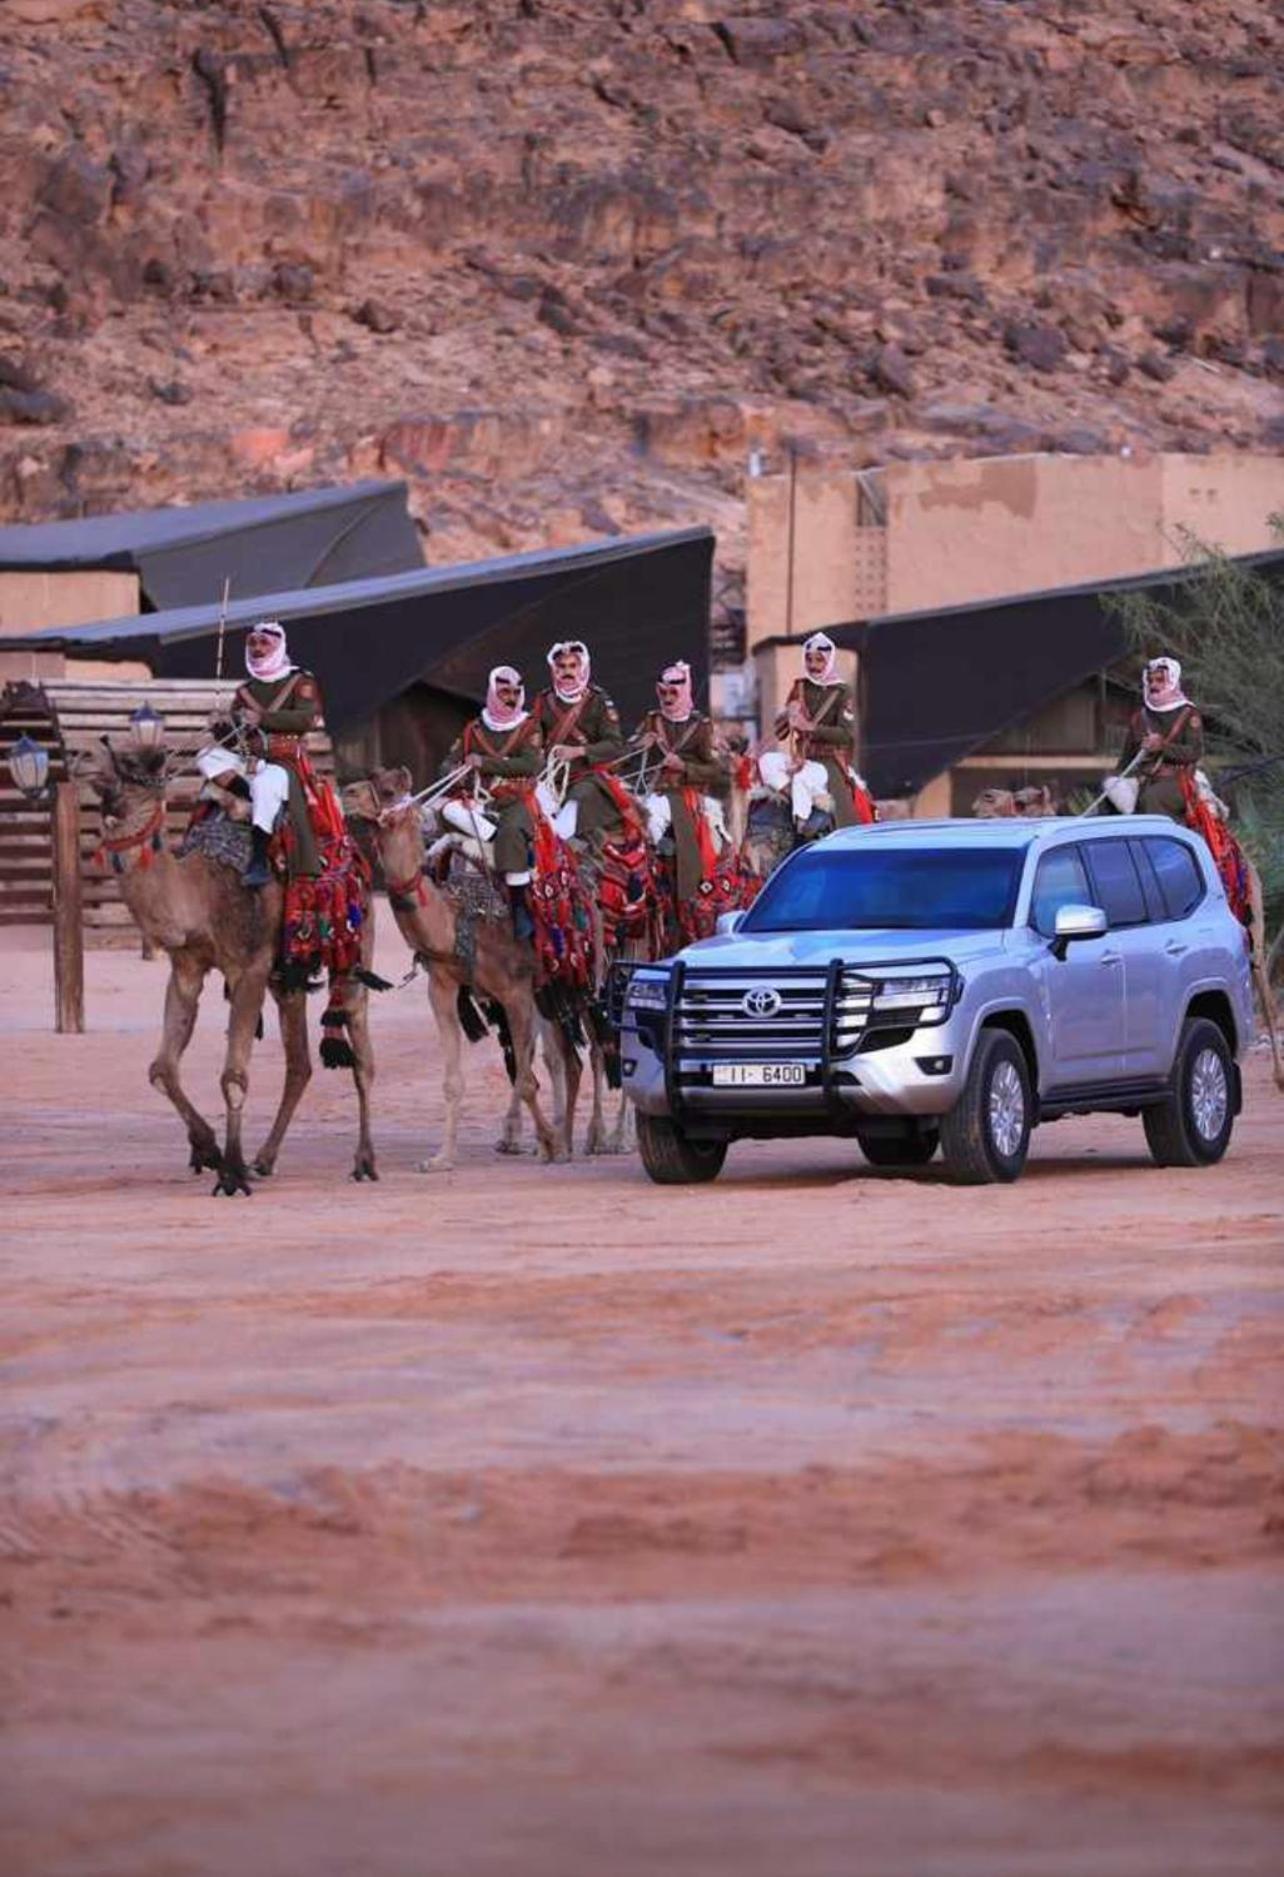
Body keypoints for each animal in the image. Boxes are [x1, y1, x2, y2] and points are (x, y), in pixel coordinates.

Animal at [88, 735, 379, 1186]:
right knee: (300, 1064)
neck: (199, 894)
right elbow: (162, 1068)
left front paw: (231, 1170)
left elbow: (233, 1078)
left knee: (360, 1054)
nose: (90, 761)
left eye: (135, 764)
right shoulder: (187, 968)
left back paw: (364, 1160)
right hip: (287, 977)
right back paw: (266, 1158)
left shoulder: (250, 968)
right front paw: (207, 1148)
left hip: (353, 950)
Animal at [345, 769, 578, 1163]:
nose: (346, 792)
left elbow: (525, 1079)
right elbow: (457, 1080)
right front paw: (441, 1158)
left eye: (388, 789)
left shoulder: (515, 991)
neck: (459, 922)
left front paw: (550, 1140)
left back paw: (599, 1138)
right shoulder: (444, 986)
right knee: (562, 1058)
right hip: (551, 987)